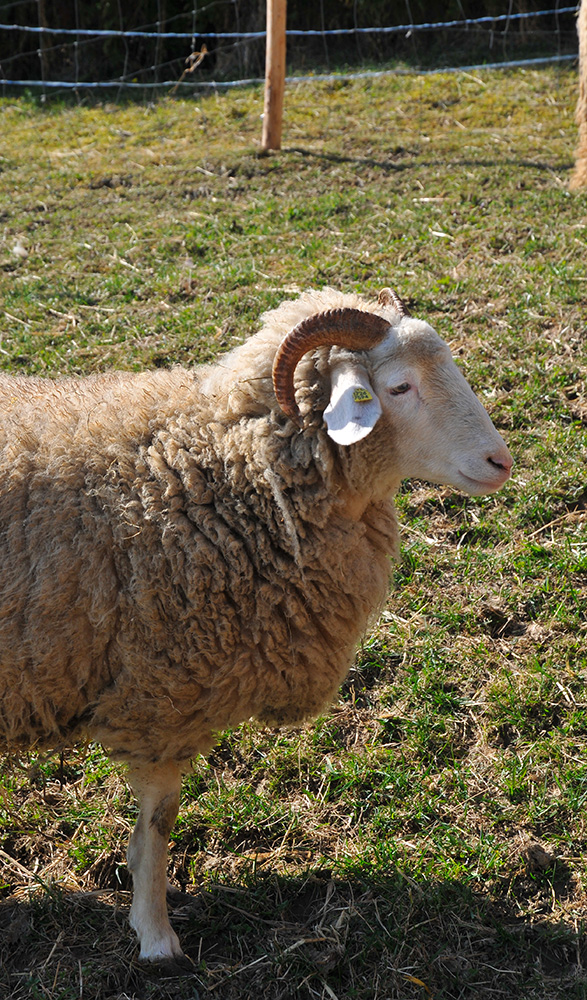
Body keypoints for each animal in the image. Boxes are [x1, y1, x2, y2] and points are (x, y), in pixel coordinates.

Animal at [0, 286, 512, 962]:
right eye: (399, 387)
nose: (500, 462)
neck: (222, 465)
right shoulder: (162, 696)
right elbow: (158, 823)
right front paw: (156, 935)